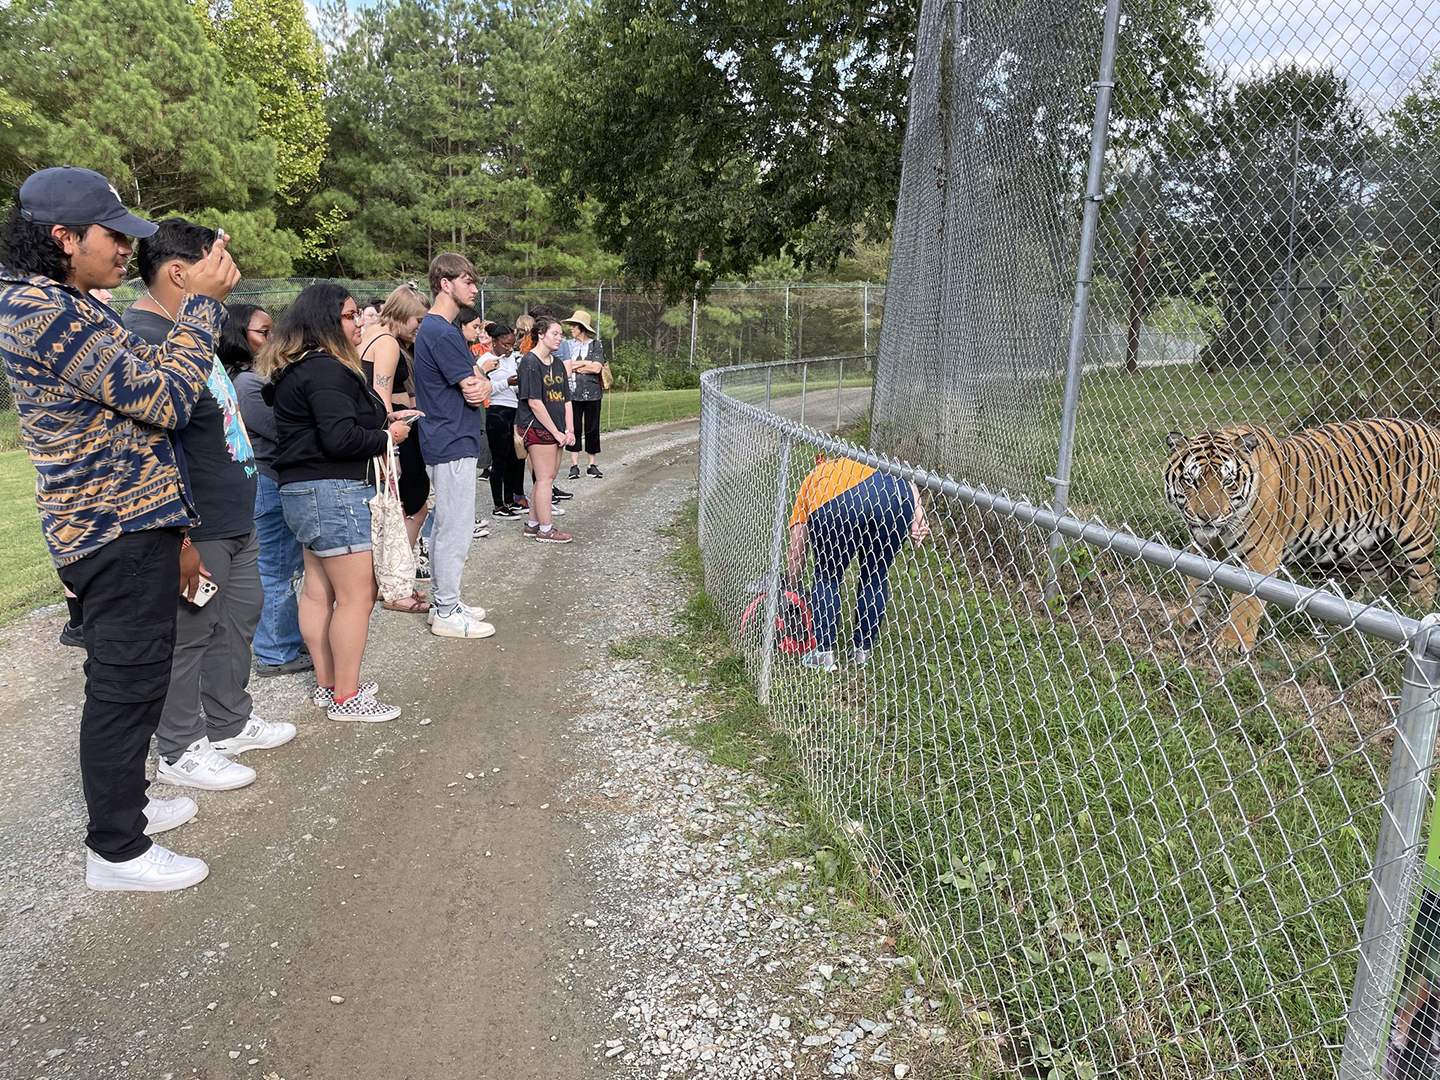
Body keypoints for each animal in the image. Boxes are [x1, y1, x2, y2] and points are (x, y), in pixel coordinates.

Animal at [1157, 417, 1440, 650]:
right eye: (1190, 481)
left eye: (1228, 482)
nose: (1207, 517)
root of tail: (1430, 428)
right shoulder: (1202, 549)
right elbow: (1196, 585)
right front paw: (1184, 618)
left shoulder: (1259, 557)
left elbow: (1244, 604)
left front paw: (1232, 642)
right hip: (1369, 538)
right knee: (1379, 573)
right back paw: (1361, 608)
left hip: (1416, 528)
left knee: (1426, 578)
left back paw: (1416, 614)